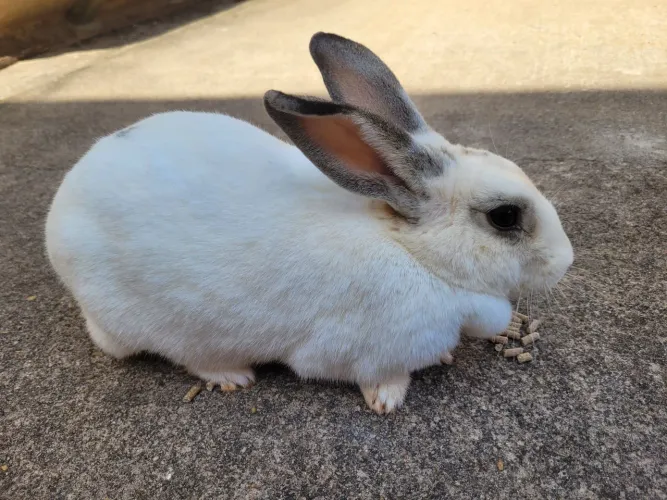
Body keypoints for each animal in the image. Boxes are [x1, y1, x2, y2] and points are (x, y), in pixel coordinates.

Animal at [45, 32, 573, 414]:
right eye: (504, 217)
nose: (567, 262)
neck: (412, 251)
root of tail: (61, 208)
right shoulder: (353, 350)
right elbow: (378, 376)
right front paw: (387, 400)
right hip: (155, 324)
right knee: (186, 356)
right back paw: (233, 377)